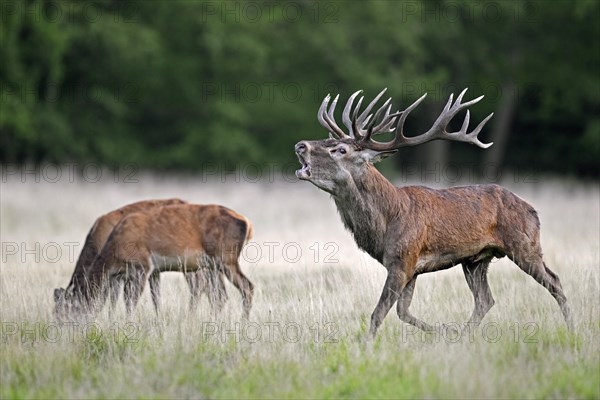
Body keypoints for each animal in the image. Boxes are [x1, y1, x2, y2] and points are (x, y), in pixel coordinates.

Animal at [69, 203, 253, 318]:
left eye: (74, 307)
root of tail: (248, 223)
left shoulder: (142, 265)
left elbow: (131, 302)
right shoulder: (129, 273)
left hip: (225, 258)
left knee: (247, 287)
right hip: (213, 264)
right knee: (219, 296)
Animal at [296, 88, 572, 338]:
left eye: (340, 149)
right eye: (327, 141)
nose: (300, 145)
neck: (386, 223)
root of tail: (533, 211)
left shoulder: (404, 260)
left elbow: (379, 313)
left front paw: (366, 347)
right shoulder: (410, 268)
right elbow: (403, 312)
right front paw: (445, 330)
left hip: (524, 245)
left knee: (555, 282)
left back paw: (572, 328)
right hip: (475, 260)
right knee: (485, 300)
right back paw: (463, 336)